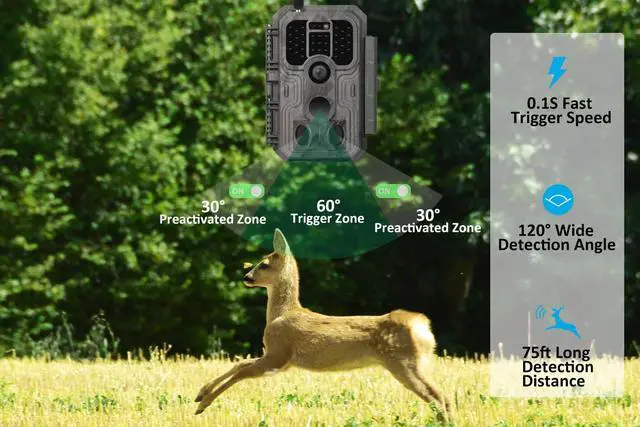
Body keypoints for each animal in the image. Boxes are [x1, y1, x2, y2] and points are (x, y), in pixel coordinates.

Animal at [195, 229, 452, 422]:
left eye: (264, 264)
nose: (246, 277)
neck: (281, 314)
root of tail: (422, 326)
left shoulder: (279, 353)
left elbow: (242, 371)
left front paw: (202, 405)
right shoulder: (282, 360)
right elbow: (240, 364)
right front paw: (200, 394)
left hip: (403, 362)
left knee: (437, 396)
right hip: (416, 362)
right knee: (443, 397)